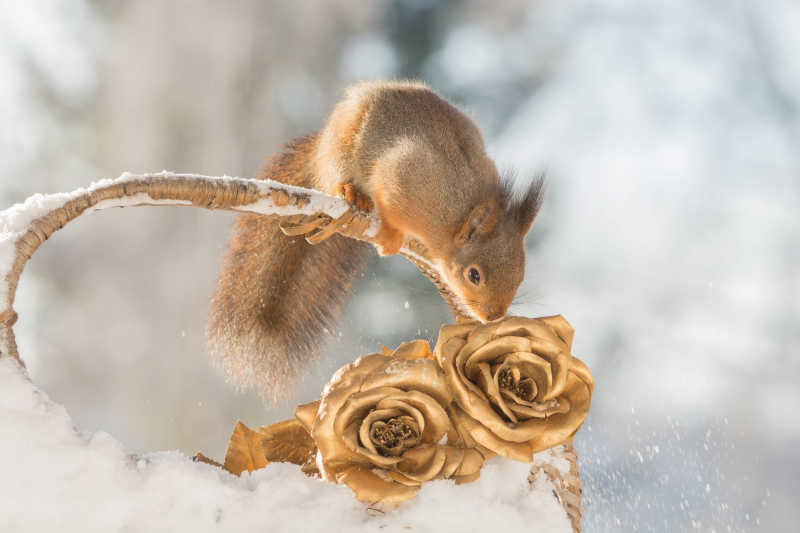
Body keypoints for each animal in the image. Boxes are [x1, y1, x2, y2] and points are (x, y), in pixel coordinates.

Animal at [206, 81, 544, 400]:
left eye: (520, 276)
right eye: (474, 275)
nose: (494, 317)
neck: (452, 218)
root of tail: (322, 147)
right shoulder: (402, 179)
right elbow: (388, 202)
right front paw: (389, 237)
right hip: (342, 149)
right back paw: (351, 193)